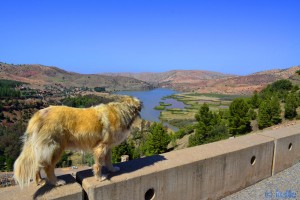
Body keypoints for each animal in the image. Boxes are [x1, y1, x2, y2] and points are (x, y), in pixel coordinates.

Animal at [13, 95, 141, 188]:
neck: (121, 111)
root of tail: (38, 114)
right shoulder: (101, 147)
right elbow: (98, 165)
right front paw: (99, 178)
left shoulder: (108, 147)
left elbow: (108, 160)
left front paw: (112, 169)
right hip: (55, 148)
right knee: (48, 167)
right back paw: (56, 182)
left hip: (43, 149)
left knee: (37, 164)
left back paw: (39, 181)